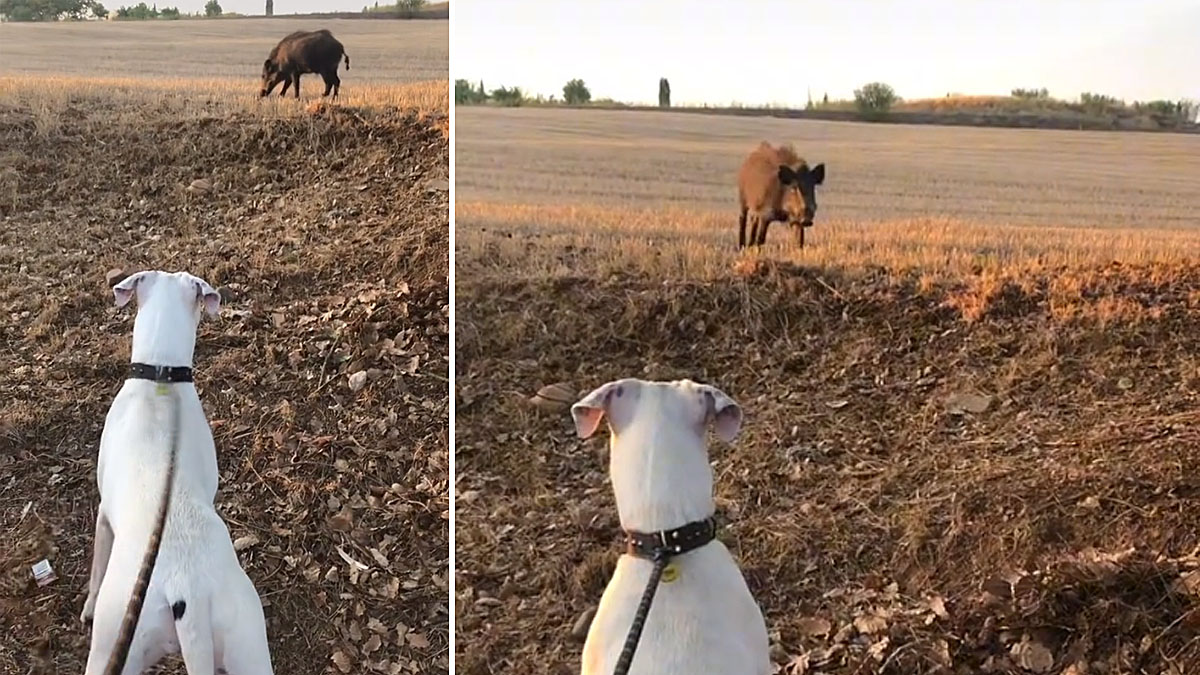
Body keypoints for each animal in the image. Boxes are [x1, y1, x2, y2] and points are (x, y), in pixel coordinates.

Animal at [84, 269, 274, 672]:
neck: (161, 378)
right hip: (247, 642)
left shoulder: (104, 516)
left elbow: (95, 569)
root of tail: (189, 595)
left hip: (112, 645)